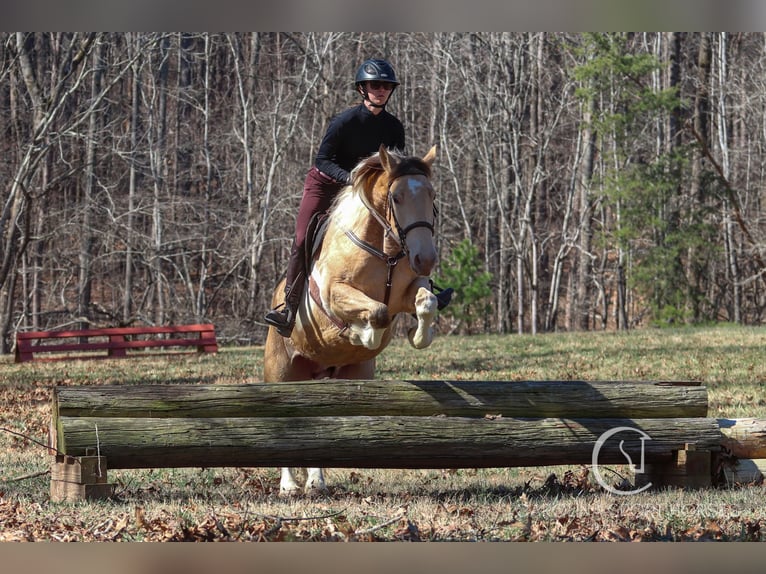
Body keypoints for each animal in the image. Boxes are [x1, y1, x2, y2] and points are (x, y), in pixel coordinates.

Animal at [266, 143, 440, 496]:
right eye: (396, 197)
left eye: (431, 194)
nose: (426, 259)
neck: (384, 249)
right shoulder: (334, 294)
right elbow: (377, 313)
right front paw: (364, 335)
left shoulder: (409, 289)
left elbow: (426, 300)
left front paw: (417, 337)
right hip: (281, 372)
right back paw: (289, 485)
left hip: (333, 381)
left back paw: (316, 482)